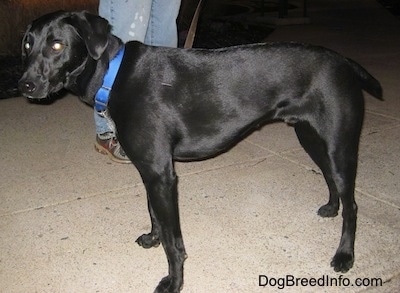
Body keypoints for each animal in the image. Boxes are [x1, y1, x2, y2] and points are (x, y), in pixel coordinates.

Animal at [19, 10, 384, 290]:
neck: (114, 75)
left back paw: (344, 255)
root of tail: (343, 61)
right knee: (330, 178)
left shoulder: (162, 175)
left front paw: (173, 282)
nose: (24, 85)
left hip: (339, 143)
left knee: (352, 204)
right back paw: (331, 207)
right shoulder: (151, 170)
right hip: (310, 137)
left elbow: (174, 242)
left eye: (57, 45)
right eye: (27, 45)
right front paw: (153, 238)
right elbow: (154, 215)